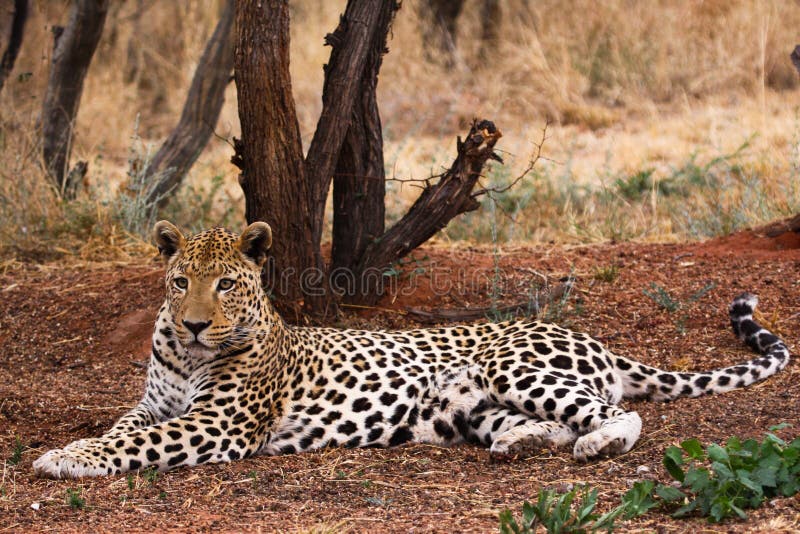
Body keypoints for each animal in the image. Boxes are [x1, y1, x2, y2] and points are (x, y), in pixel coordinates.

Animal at [34, 220, 792, 480]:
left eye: (225, 284)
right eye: (180, 281)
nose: (193, 324)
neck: (189, 355)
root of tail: (591, 336)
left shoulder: (218, 422)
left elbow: (134, 444)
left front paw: (64, 460)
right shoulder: (155, 404)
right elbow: (123, 429)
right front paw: (70, 448)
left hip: (515, 365)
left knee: (619, 414)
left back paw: (594, 445)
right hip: (471, 405)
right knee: (540, 422)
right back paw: (519, 445)